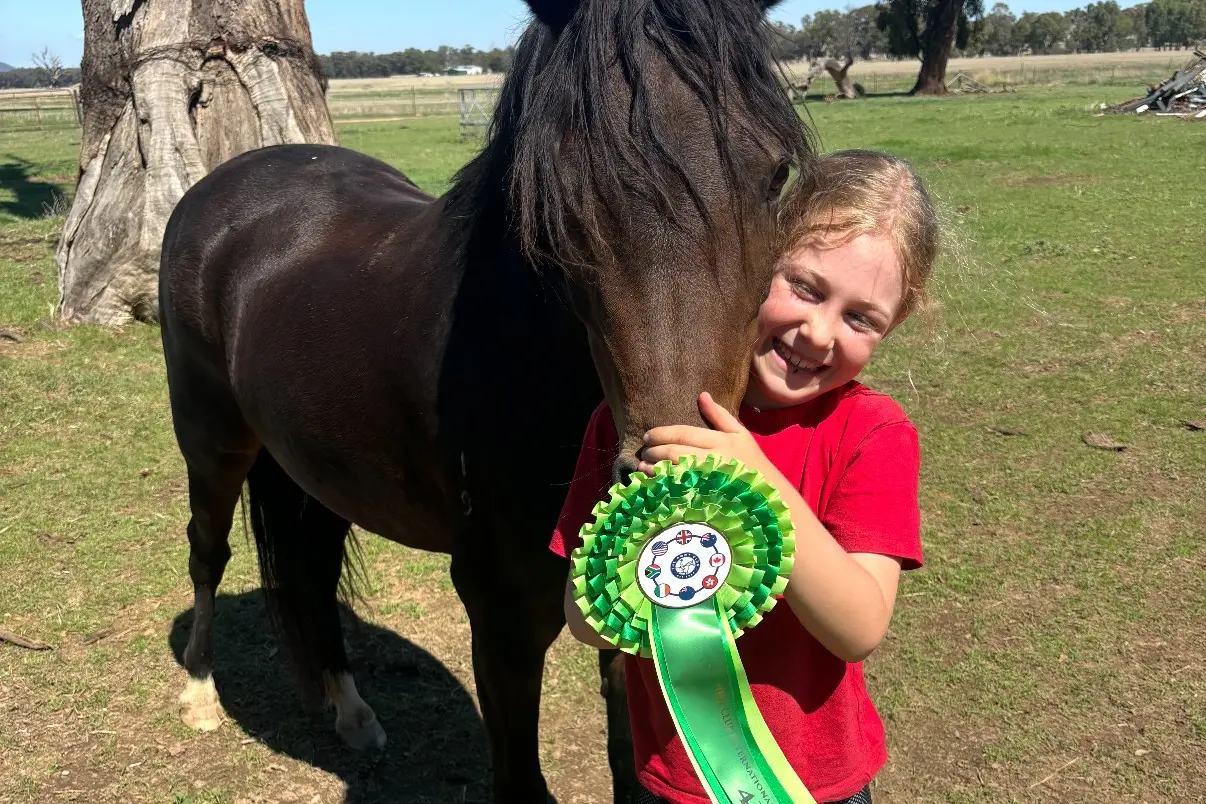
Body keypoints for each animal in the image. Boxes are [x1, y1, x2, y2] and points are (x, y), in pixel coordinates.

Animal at [158, 0, 811, 800]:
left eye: (777, 174)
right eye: (562, 193)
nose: (679, 482)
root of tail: (224, 184)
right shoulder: (501, 614)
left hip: (316, 469)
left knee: (309, 569)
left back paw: (351, 714)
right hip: (213, 439)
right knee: (208, 549)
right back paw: (199, 694)